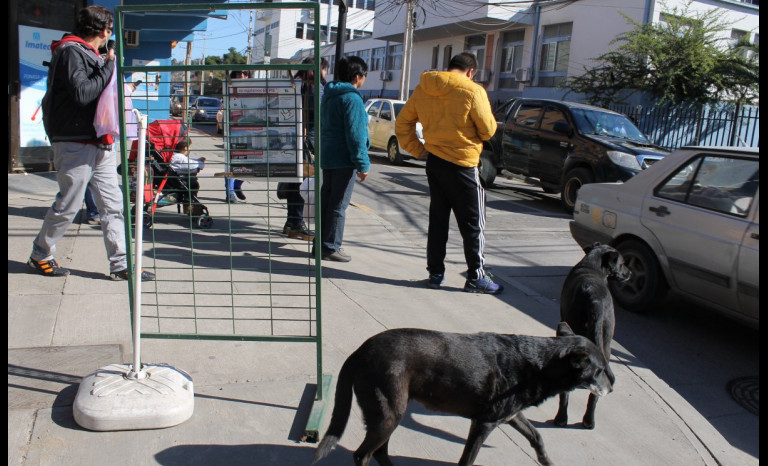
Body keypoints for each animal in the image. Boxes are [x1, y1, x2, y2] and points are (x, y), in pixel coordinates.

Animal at [312, 324, 612, 466]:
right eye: (599, 371)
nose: (612, 388)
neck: (539, 363)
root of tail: (359, 352)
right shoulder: (484, 424)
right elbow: (468, 459)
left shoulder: (511, 415)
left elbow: (537, 437)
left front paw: (547, 461)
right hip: (389, 413)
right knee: (363, 454)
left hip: (388, 415)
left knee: (379, 451)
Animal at [552, 244, 632, 430]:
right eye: (622, 263)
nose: (630, 273)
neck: (592, 265)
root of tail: (595, 301)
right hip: (606, 343)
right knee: (594, 395)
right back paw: (588, 421)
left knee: (566, 393)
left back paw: (562, 418)